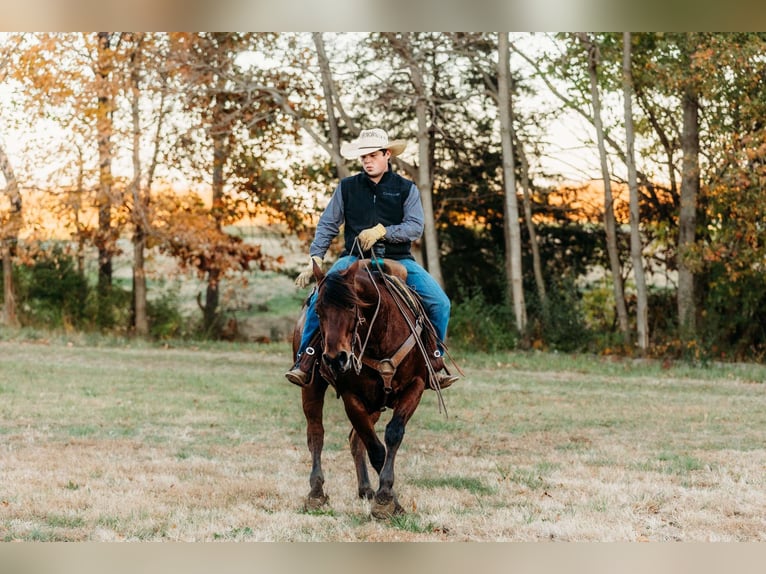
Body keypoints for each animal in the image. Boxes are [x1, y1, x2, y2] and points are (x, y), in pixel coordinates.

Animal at [296, 258, 450, 520]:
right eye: (318, 311)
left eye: (351, 306)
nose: (336, 359)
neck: (380, 334)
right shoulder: (352, 397)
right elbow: (376, 449)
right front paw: (388, 500)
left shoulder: (415, 386)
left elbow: (393, 435)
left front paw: (385, 496)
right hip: (312, 387)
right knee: (316, 433)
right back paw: (316, 492)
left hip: (375, 405)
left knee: (354, 439)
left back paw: (366, 488)